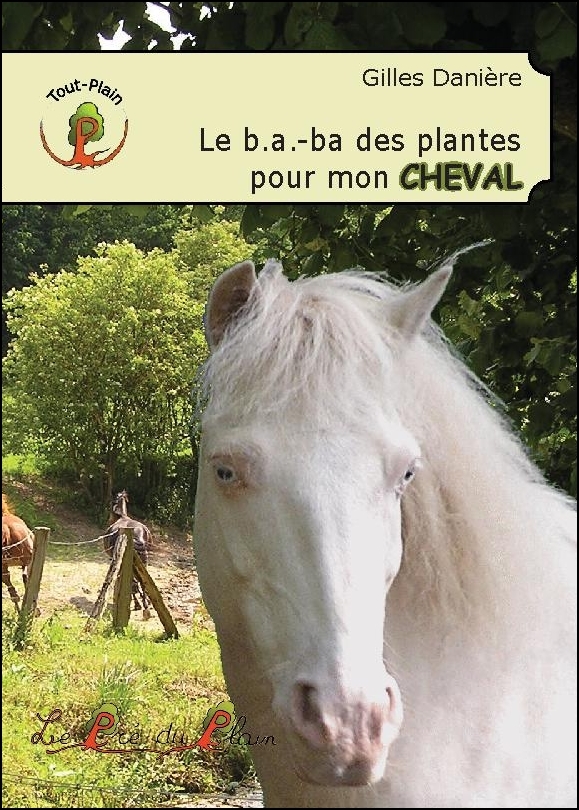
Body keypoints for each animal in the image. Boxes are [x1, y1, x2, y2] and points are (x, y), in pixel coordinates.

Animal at [104, 490, 153, 619]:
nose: (108, 521)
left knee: (134, 584)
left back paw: (139, 605)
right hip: (143, 562)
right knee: (143, 582)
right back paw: (145, 605)